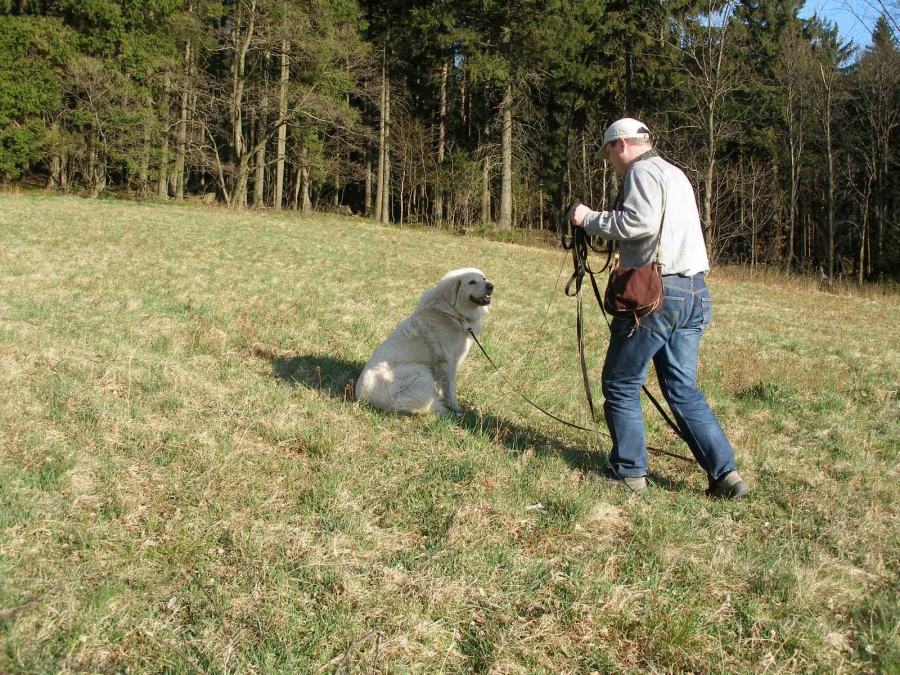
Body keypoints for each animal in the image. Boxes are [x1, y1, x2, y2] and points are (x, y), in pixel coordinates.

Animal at [355, 268, 493, 416]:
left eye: (484, 278)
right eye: (472, 282)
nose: (491, 286)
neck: (451, 311)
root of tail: (365, 399)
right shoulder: (448, 362)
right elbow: (450, 388)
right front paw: (456, 408)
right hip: (420, 371)